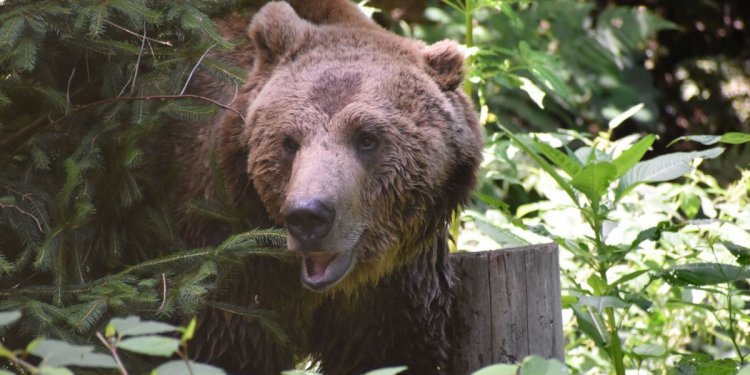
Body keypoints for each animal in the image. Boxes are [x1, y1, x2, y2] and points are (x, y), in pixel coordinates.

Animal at [166, 1, 482, 374]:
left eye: (367, 138)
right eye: (289, 142)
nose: (308, 216)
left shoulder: (393, 284)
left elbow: (394, 350)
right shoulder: (228, 267)